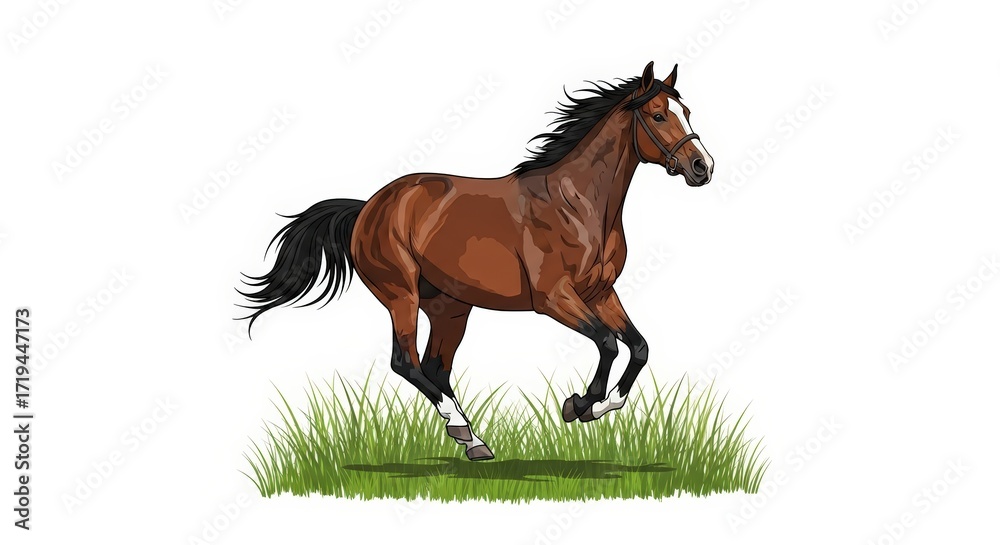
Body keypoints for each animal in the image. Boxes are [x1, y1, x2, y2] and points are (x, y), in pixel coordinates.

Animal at [239, 61, 714, 461]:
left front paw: (598, 406)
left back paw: (472, 441)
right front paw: (578, 405)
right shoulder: (554, 298)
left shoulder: (600, 292)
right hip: (402, 295)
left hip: (450, 306)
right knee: (406, 362)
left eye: (687, 111)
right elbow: (607, 342)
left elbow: (638, 347)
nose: (702, 167)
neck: (577, 203)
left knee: (435, 367)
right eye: (658, 116)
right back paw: (467, 432)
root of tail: (369, 207)